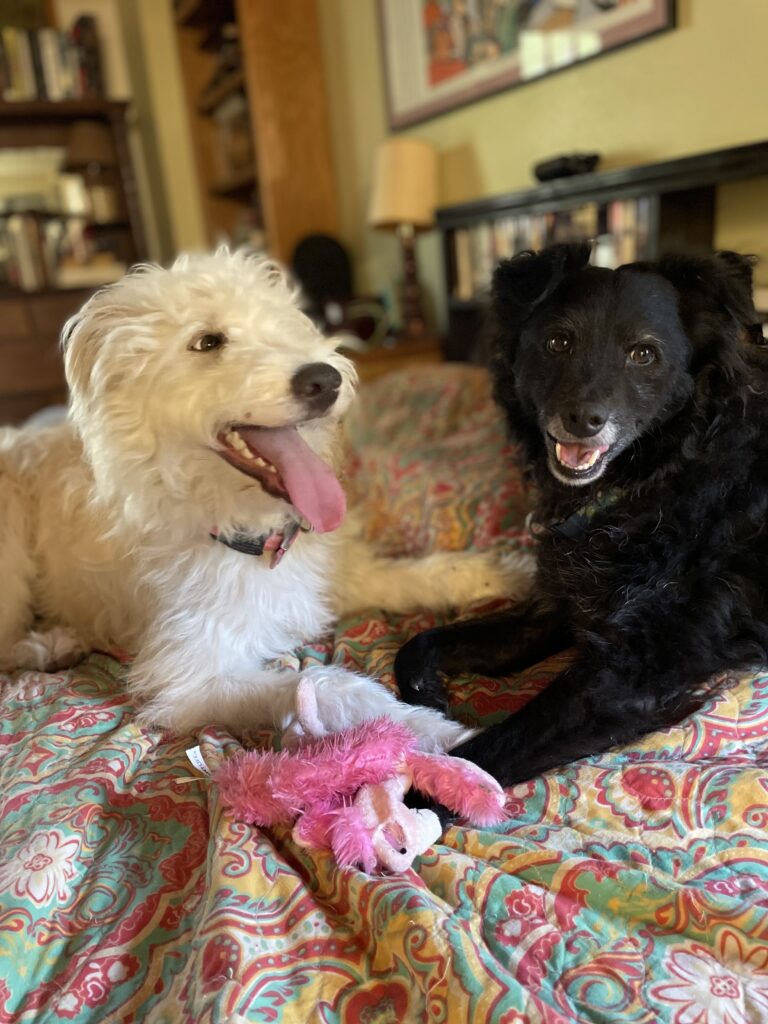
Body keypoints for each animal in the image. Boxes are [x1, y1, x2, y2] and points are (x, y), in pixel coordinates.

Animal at [0, 251, 532, 749]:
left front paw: (507, 572)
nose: (326, 380)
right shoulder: (190, 677)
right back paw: (50, 646)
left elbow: (420, 575)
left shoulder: (330, 581)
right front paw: (438, 734)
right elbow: (325, 684)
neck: (251, 531)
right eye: (208, 342)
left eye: (285, 325)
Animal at [397, 243, 768, 786]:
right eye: (558, 341)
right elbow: (418, 643)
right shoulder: (557, 610)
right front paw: (426, 695)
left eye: (643, 354)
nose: (584, 420)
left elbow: (484, 754)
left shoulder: (626, 672)